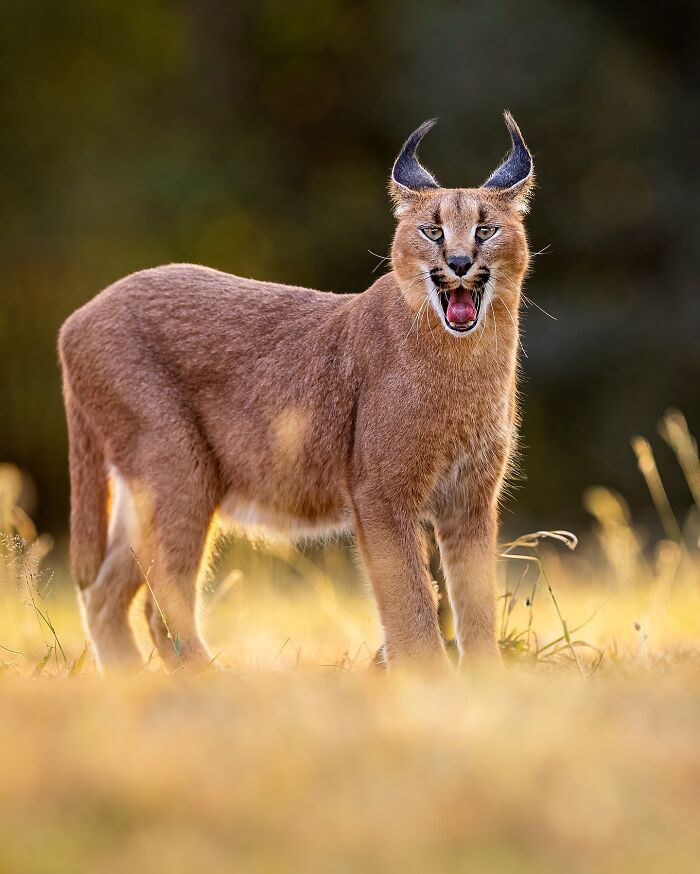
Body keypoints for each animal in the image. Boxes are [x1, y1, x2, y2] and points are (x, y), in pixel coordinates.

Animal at [60, 109, 536, 668]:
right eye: (432, 230)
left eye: (486, 229)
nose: (460, 263)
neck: (466, 359)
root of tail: (76, 318)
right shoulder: (381, 492)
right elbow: (412, 602)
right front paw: (429, 681)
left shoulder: (470, 496)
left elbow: (475, 601)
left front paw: (485, 679)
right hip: (180, 468)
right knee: (159, 606)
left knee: (105, 595)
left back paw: (131, 682)